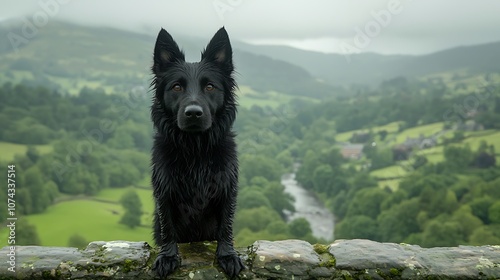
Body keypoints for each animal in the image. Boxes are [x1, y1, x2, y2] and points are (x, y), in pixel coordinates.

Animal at [149, 26, 243, 278]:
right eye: (177, 87)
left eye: (210, 86)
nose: (193, 113)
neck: (195, 148)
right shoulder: (164, 192)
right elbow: (168, 226)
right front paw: (168, 257)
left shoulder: (227, 189)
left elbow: (226, 226)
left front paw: (227, 255)